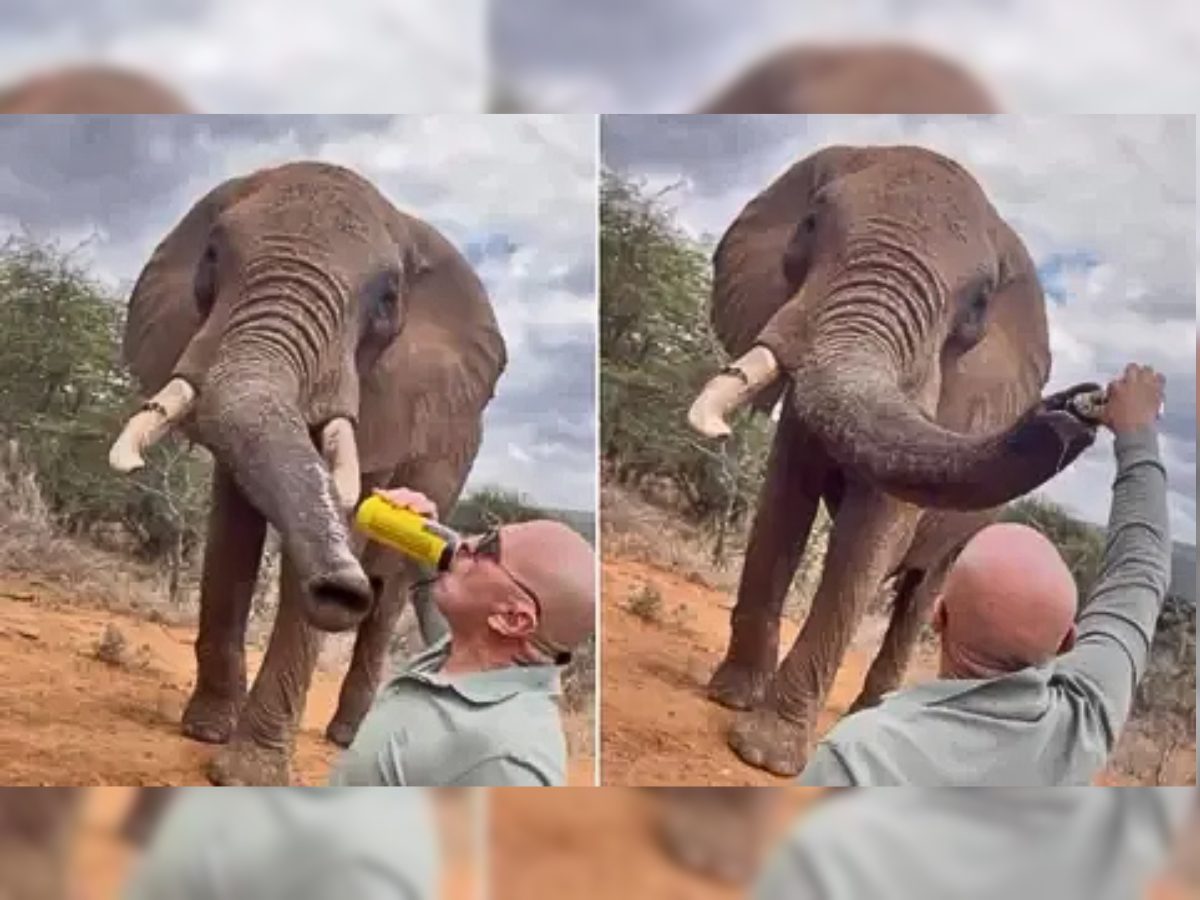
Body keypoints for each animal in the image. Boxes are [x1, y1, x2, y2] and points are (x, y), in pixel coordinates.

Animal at [106, 160, 507, 785]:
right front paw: (205, 731)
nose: (341, 589)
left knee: (388, 594)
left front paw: (247, 775)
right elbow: (231, 538)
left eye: (387, 297)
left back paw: (347, 735)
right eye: (212, 256)